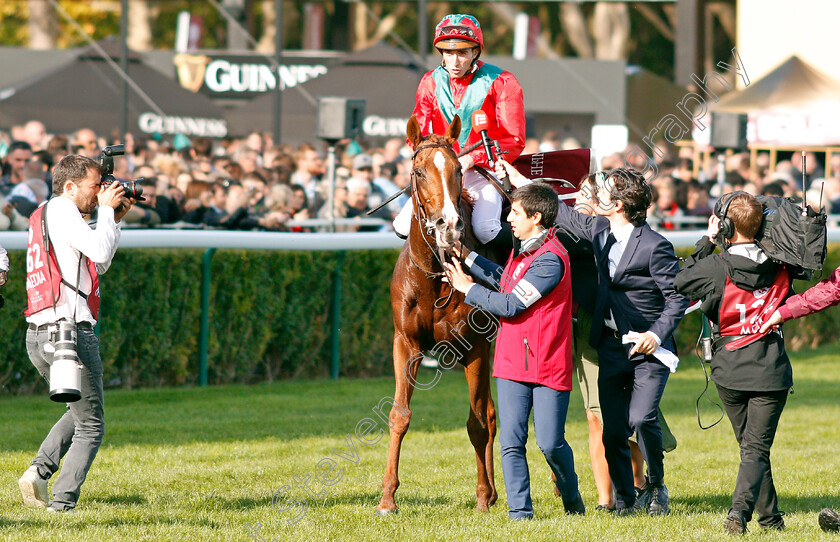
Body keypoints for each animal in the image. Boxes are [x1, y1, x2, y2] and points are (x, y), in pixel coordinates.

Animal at [378, 116, 508, 520]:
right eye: (419, 171)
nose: (449, 224)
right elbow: (399, 415)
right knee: (493, 412)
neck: (435, 275)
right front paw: (387, 499)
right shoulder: (406, 343)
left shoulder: (475, 346)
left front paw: (481, 498)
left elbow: (475, 423)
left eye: (457, 171)